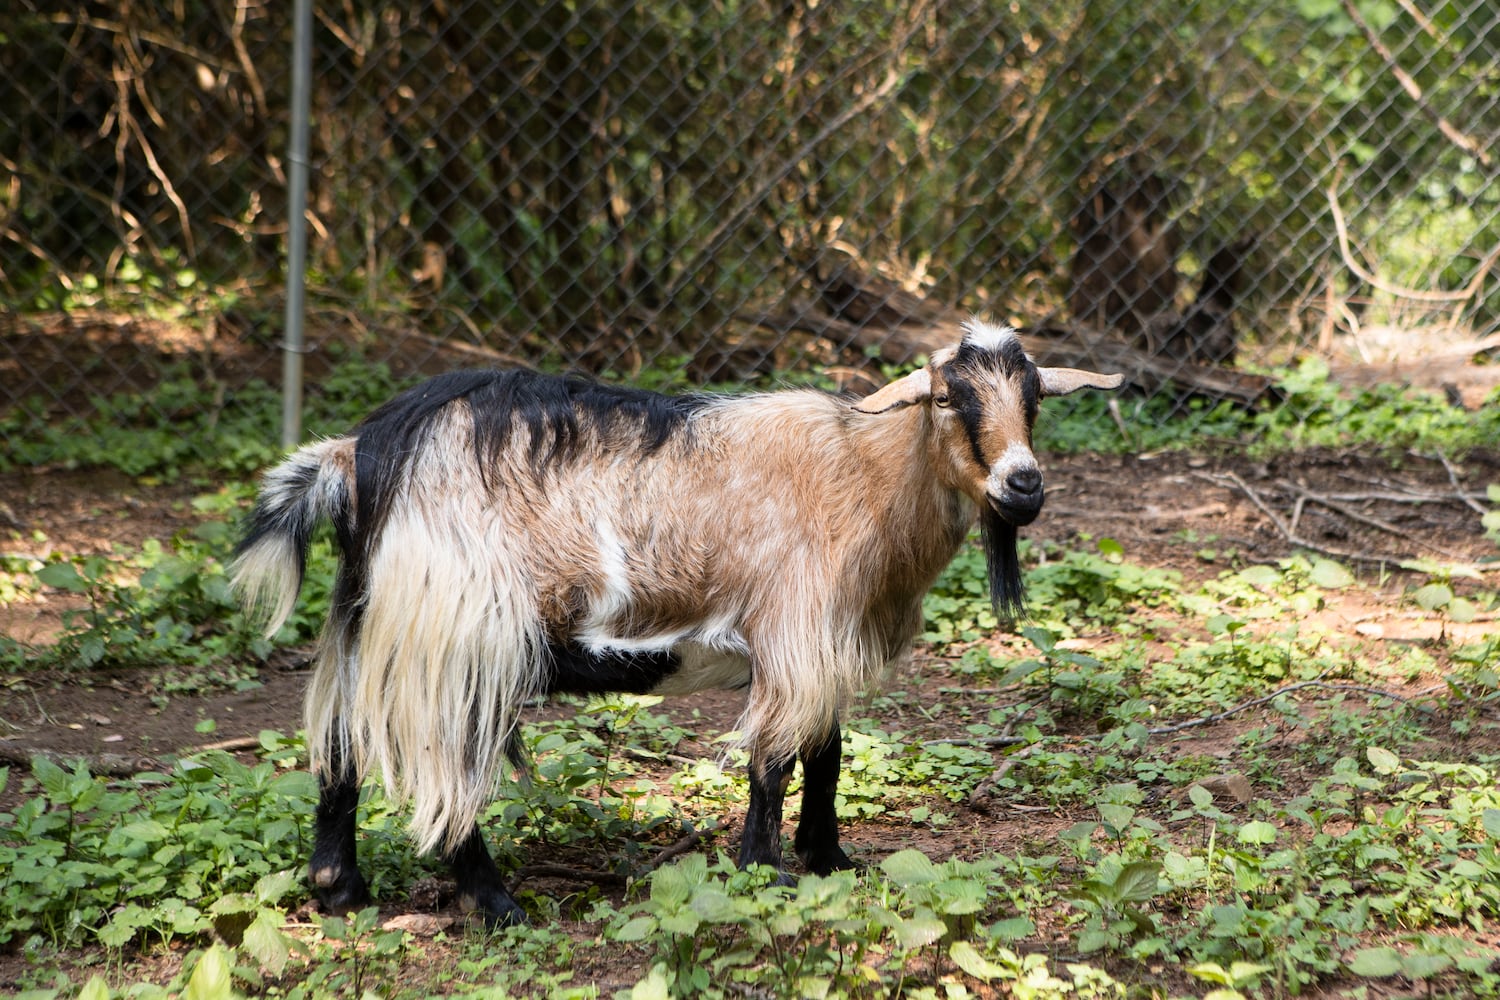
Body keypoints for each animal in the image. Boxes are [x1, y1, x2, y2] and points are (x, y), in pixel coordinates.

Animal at [231, 319, 1128, 923]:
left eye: (1035, 398)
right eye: (948, 397)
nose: (1022, 486)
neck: (864, 477)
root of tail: (359, 454)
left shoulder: (821, 646)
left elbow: (827, 754)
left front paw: (830, 858)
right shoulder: (796, 633)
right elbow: (775, 761)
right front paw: (765, 872)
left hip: (368, 621)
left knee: (338, 745)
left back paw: (339, 889)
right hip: (457, 633)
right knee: (440, 776)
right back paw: (497, 903)